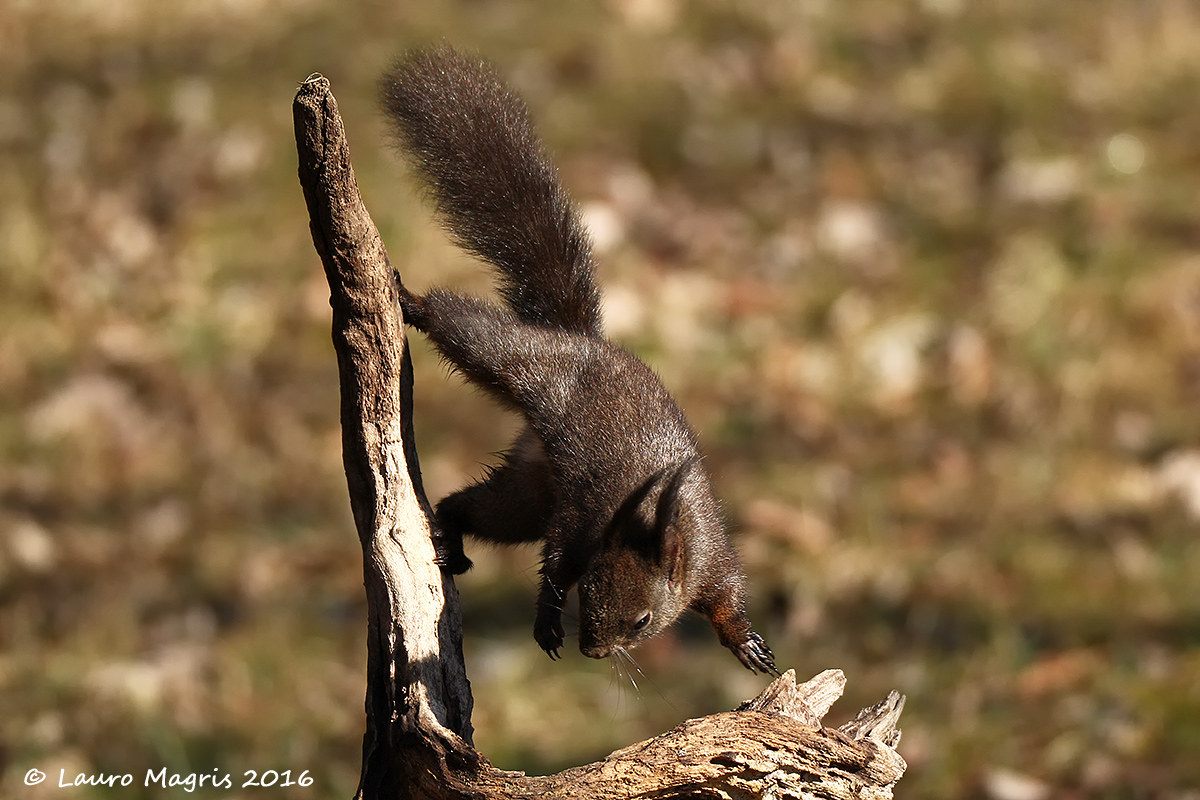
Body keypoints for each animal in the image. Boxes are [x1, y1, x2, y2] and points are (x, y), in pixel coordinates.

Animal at [379, 47, 782, 676]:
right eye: (588, 594)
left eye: (642, 621)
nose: (593, 648)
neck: (652, 519)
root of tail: (577, 339)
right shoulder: (579, 522)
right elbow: (554, 569)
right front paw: (546, 620)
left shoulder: (711, 560)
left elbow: (726, 599)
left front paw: (746, 641)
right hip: (518, 369)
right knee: (468, 329)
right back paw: (414, 302)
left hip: (528, 491)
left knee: (473, 506)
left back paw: (452, 535)